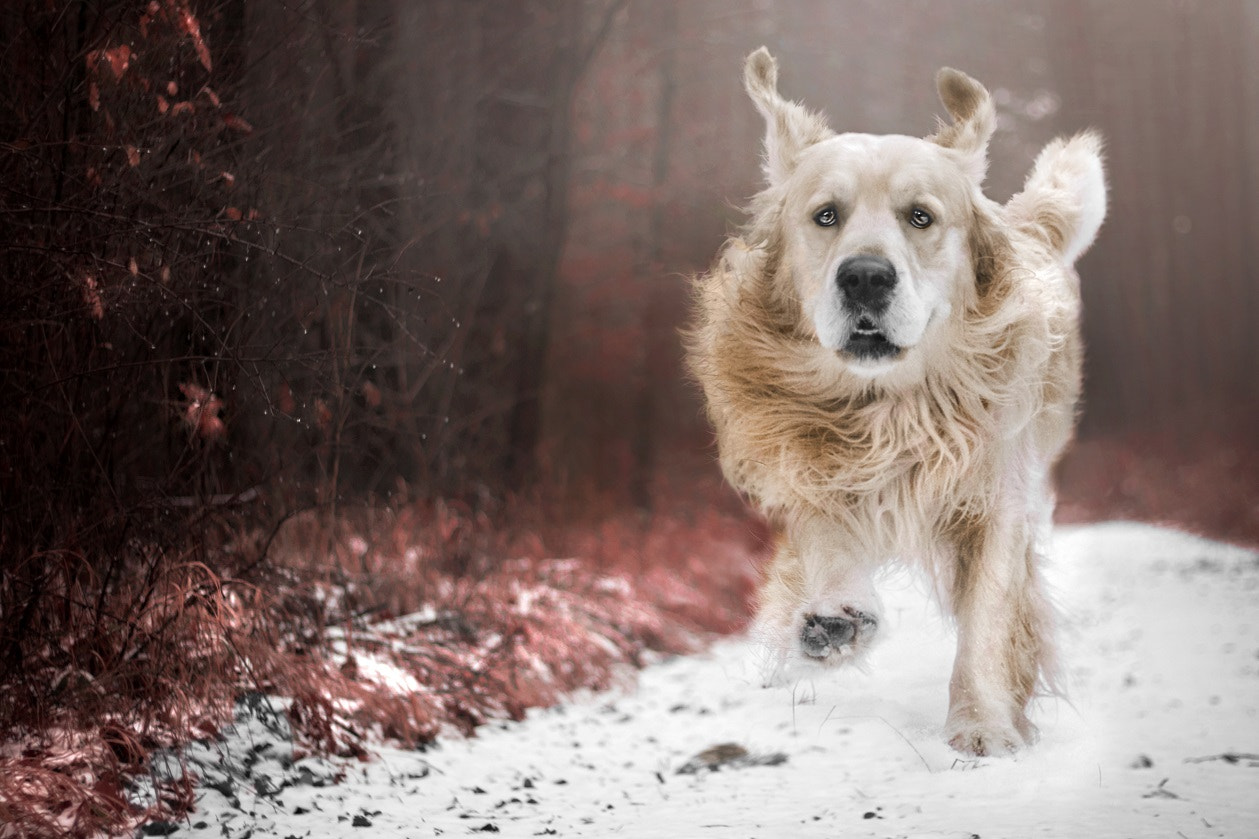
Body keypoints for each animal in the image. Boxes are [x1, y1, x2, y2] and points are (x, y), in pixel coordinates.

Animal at [684, 45, 1107, 755]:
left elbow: (990, 613)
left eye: (920, 217)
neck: (890, 408)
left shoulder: (997, 496)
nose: (864, 277)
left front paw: (983, 724)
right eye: (826, 215)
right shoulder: (811, 465)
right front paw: (834, 618)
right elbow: (826, 538)